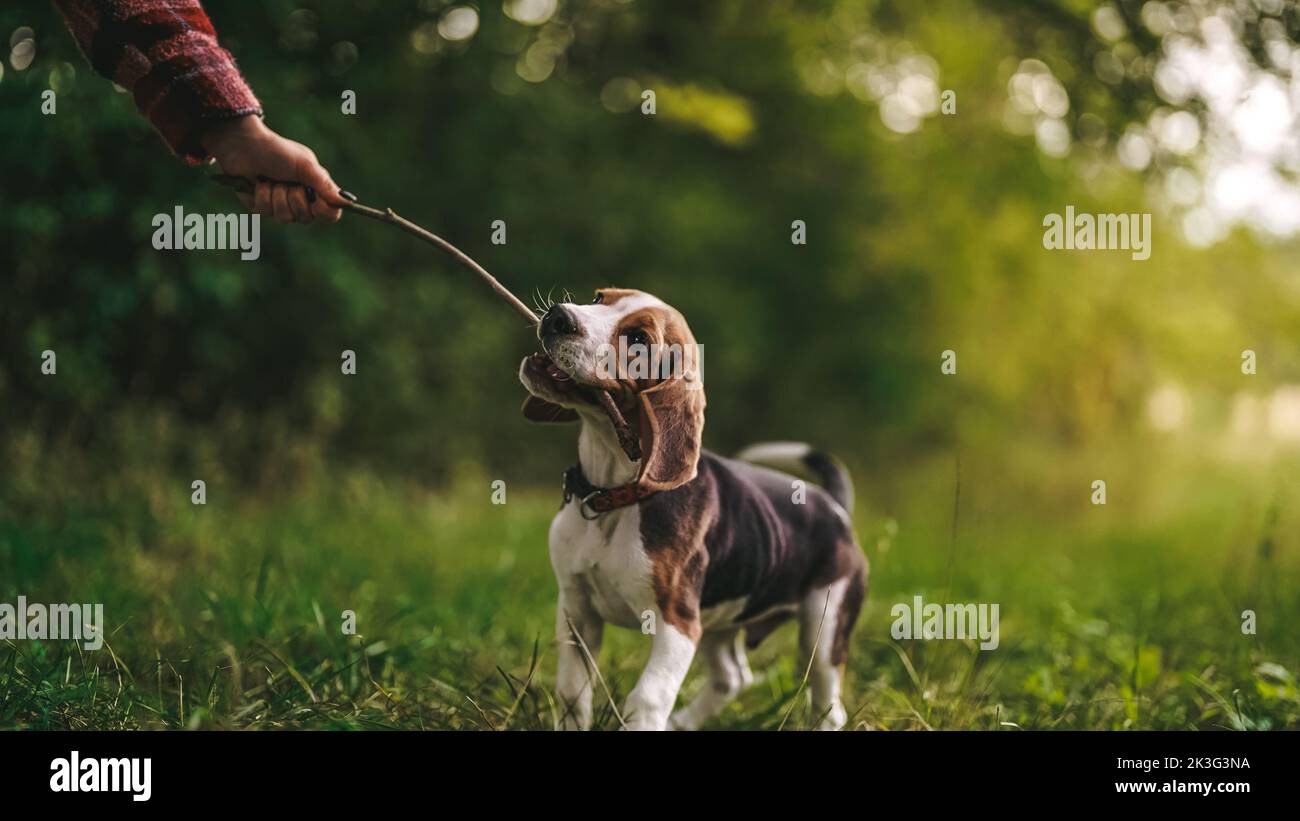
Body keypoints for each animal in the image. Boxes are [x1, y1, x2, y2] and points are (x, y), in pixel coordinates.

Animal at [514, 288, 863, 732]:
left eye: (638, 340)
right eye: (598, 299)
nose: (559, 316)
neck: (614, 494)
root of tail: (835, 506)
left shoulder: (677, 623)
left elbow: (646, 698)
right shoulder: (577, 610)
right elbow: (573, 693)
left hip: (824, 624)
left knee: (829, 705)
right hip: (720, 618)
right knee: (733, 677)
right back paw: (684, 722)